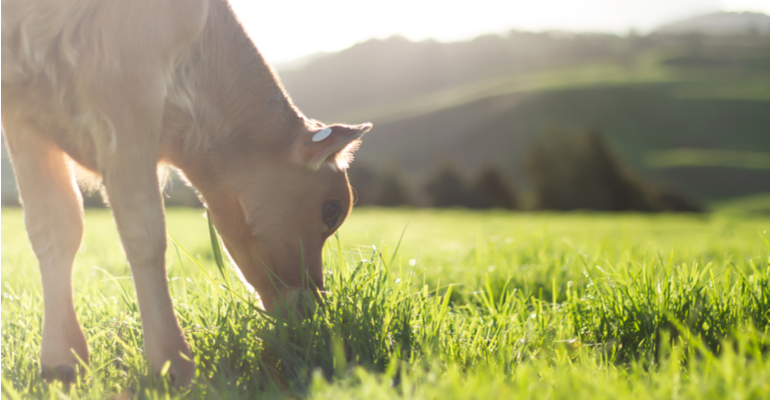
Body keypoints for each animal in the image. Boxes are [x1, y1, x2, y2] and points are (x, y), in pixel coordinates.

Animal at [0, 0, 368, 388]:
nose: (315, 306)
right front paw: (171, 362)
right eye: (332, 210)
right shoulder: (126, 88)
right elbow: (142, 231)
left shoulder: (25, 108)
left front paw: (62, 363)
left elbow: (55, 227)